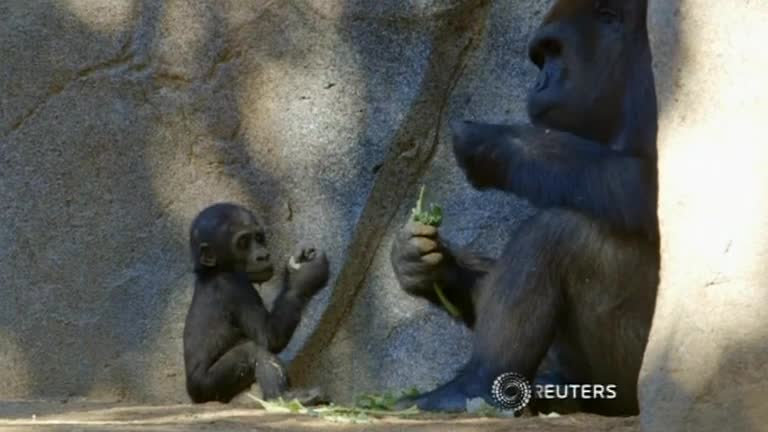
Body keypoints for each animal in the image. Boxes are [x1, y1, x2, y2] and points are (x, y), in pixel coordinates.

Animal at [188, 204, 332, 404]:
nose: (262, 256)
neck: (214, 271)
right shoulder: (236, 287)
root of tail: (192, 396)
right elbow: (269, 336)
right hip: (207, 387)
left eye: (258, 237)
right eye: (243, 242)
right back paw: (282, 398)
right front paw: (306, 275)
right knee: (253, 351)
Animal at [390, 0, 660, 416]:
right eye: (541, 58)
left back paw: (474, 384)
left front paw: (494, 144)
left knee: (558, 231)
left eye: (554, 51)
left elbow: (648, 185)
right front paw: (421, 265)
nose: (538, 85)